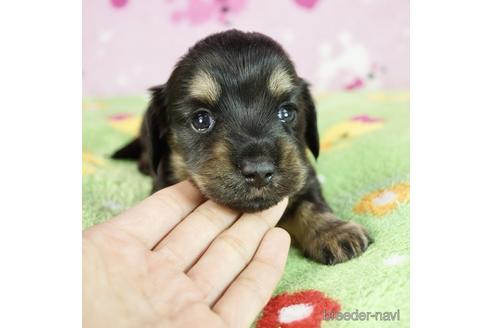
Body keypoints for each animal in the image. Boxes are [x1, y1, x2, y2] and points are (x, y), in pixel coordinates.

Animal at [112, 28, 372, 264]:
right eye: (201, 120)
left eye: (286, 112)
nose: (259, 172)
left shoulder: (304, 172)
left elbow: (310, 204)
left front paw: (335, 231)